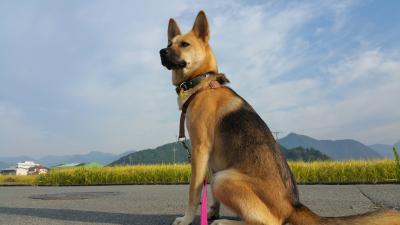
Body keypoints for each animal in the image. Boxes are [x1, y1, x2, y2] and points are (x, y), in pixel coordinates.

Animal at [160, 10, 400, 225]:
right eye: (170, 43)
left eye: (184, 44)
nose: (162, 51)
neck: (202, 83)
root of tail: (293, 206)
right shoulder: (209, 158)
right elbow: (207, 192)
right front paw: (210, 213)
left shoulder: (200, 148)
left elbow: (194, 191)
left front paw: (187, 219)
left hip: (224, 179)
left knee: (270, 222)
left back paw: (226, 222)